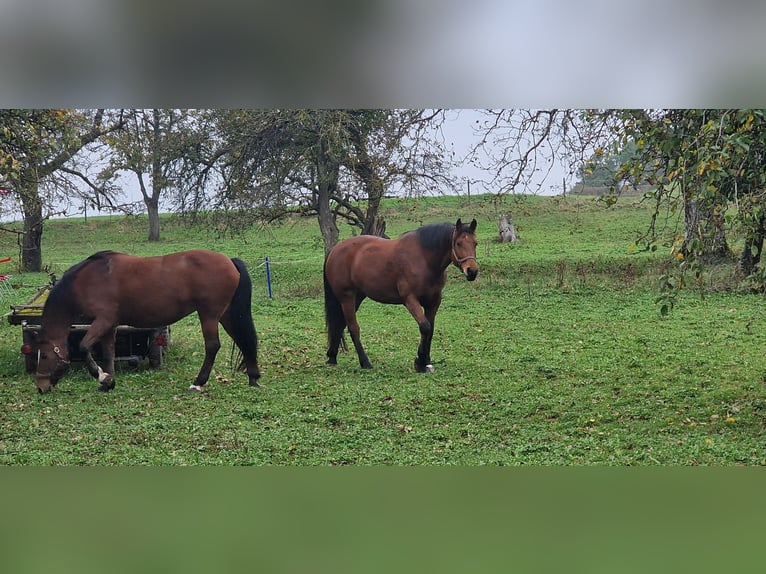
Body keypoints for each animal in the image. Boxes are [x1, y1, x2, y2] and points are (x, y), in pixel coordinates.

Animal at [33, 250, 260, 394]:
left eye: (44, 355)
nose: (40, 386)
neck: (88, 279)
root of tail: (229, 261)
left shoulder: (103, 321)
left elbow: (83, 347)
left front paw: (101, 376)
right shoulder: (110, 325)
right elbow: (108, 353)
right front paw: (108, 382)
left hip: (209, 315)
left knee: (213, 346)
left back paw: (198, 383)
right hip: (225, 315)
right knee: (243, 340)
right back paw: (253, 378)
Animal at [324, 219, 480, 374]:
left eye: (475, 243)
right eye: (458, 243)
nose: (472, 271)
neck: (424, 259)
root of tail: (335, 250)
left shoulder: (433, 302)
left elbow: (430, 329)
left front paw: (426, 361)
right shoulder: (410, 300)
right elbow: (425, 327)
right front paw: (420, 362)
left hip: (357, 297)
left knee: (341, 324)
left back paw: (332, 356)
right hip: (346, 297)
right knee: (353, 327)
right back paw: (365, 362)